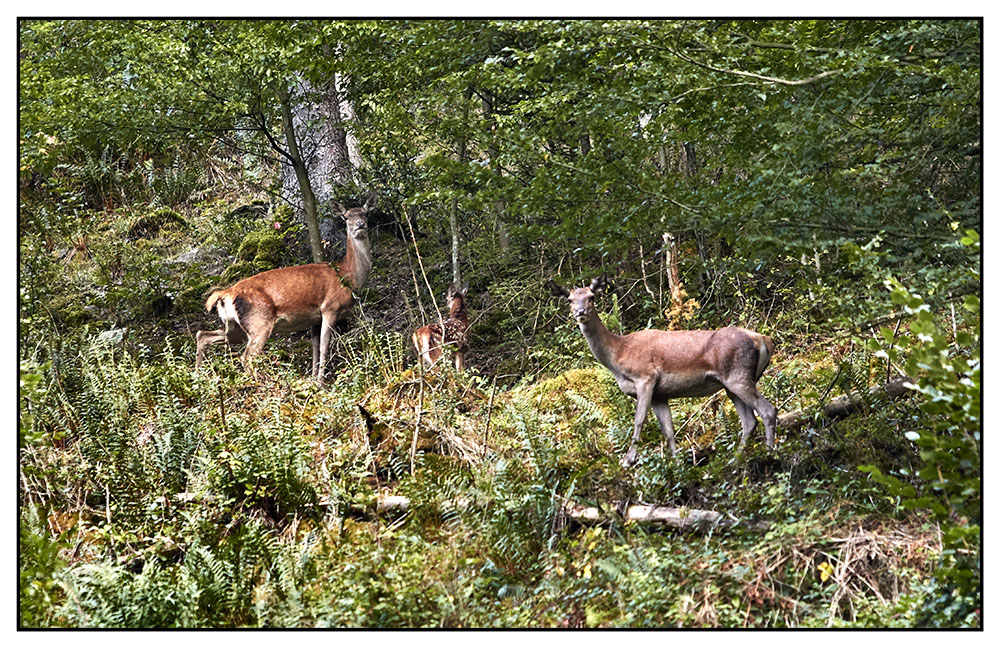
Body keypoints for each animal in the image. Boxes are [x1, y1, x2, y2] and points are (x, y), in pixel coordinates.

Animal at [195, 196, 376, 382]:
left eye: (366, 213)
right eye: (346, 217)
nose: (360, 224)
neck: (348, 276)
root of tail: (226, 293)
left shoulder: (314, 318)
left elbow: (315, 348)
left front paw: (312, 378)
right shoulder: (330, 307)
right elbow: (324, 347)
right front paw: (320, 381)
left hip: (234, 327)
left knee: (203, 335)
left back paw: (198, 376)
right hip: (258, 321)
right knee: (247, 357)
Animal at [552, 276, 776, 466]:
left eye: (591, 296)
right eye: (570, 299)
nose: (581, 312)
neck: (618, 354)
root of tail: (763, 340)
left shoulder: (645, 377)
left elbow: (639, 420)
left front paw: (628, 460)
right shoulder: (660, 395)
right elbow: (668, 429)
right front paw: (676, 463)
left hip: (737, 374)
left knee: (767, 410)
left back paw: (769, 454)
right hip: (732, 383)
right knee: (749, 421)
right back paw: (736, 459)